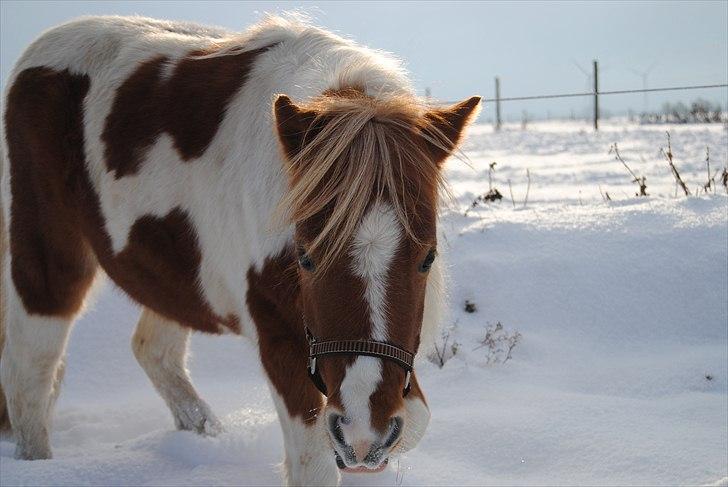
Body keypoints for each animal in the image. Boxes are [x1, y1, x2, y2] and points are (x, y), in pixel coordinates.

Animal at [0, 13, 480, 486]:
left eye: (427, 258)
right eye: (305, 257)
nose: (365, 433)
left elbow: (413, 426)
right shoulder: (281, 342)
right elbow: (314, 466)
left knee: (152, 351)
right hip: (46, 257)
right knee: (31, 371)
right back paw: (41, 464)